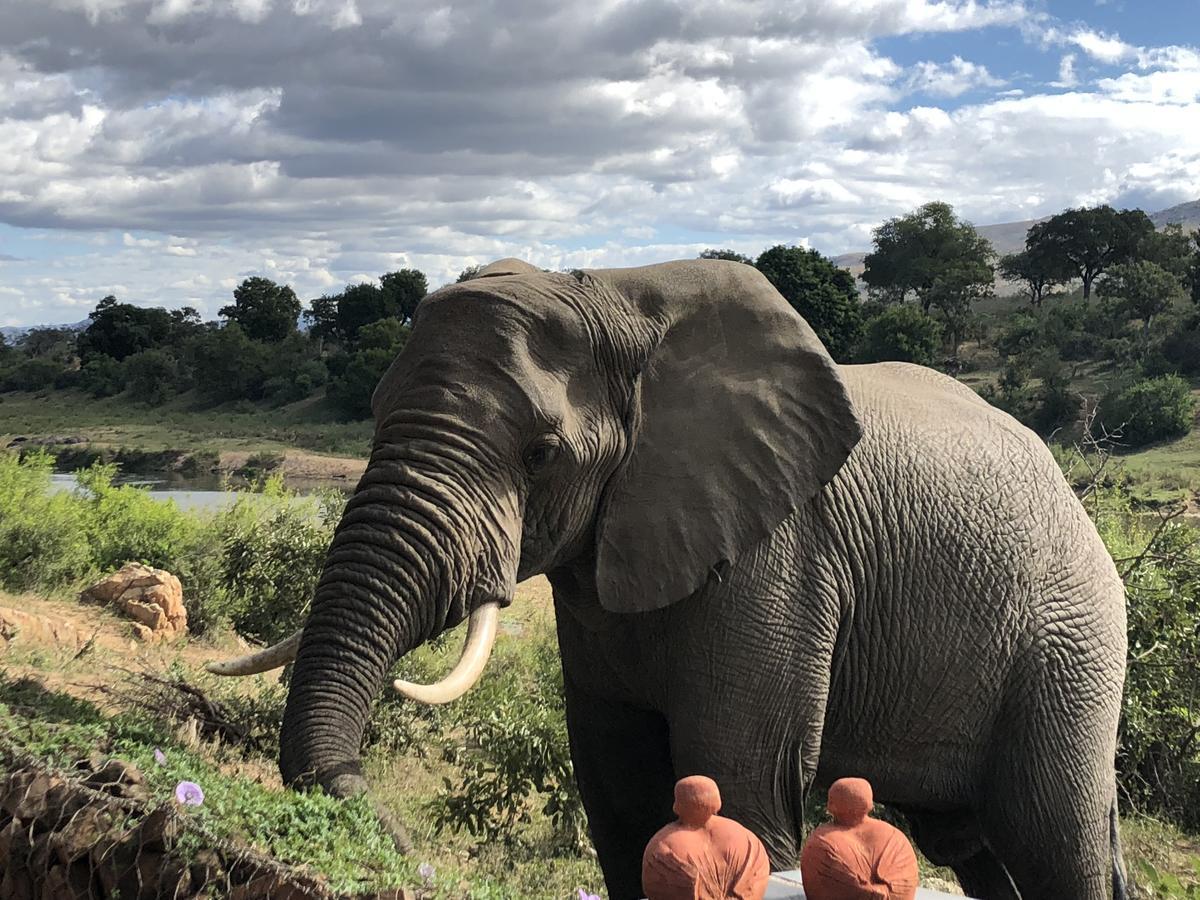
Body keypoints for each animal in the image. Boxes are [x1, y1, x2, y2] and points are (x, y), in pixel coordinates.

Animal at [208, 255, 1132, 900]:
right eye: (371, 417)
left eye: (541, 454)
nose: (394, 845)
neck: (615, 293)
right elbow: (620, 795)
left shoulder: (781, 555)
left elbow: (736, 781)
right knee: (974, 845)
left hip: (1071, 640)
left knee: (1056, 837)